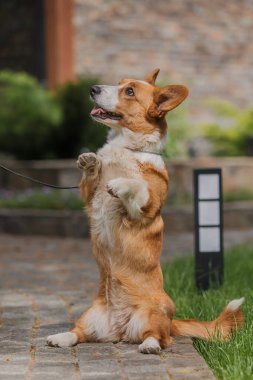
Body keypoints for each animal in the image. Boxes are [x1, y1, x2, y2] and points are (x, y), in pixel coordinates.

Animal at [46, 70, 244, 354]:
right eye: (118, 84)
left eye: (129, 92)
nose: (92, 88)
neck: (126, 148)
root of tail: (119, 331)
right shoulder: (88, 197)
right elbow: (91, 176)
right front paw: (90, 160)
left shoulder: (143, 209)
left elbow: (137, 186)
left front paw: (119, 184)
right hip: (89, 316)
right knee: (79, 333)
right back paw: (61, 337)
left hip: (157, 311)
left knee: (159, 337)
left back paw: (149, 345)